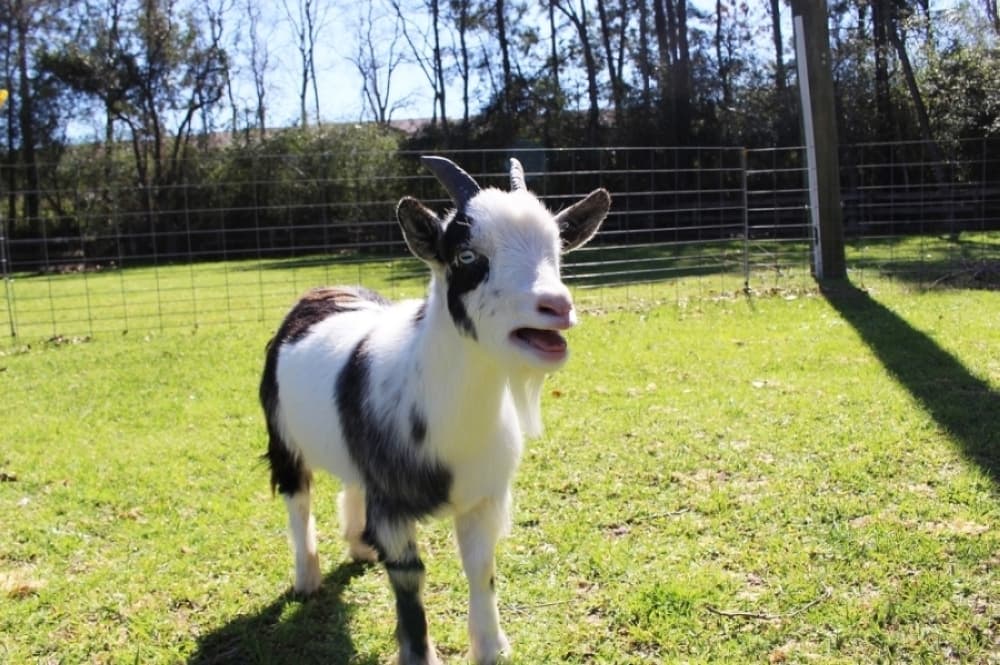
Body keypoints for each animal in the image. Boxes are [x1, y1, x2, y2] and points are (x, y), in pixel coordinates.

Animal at [259, 156, 610, 665]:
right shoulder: (392, 505)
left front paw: (491, 647)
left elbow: (481, 568)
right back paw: (307, 579)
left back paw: (360, 547)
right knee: (297, 498)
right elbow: (409, 578)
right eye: (466, 257)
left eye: (557, 249)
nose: (556, 305)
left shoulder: (483, 498)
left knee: (350, 481)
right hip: (282, 434)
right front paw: (419, 654)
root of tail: (322, 290)